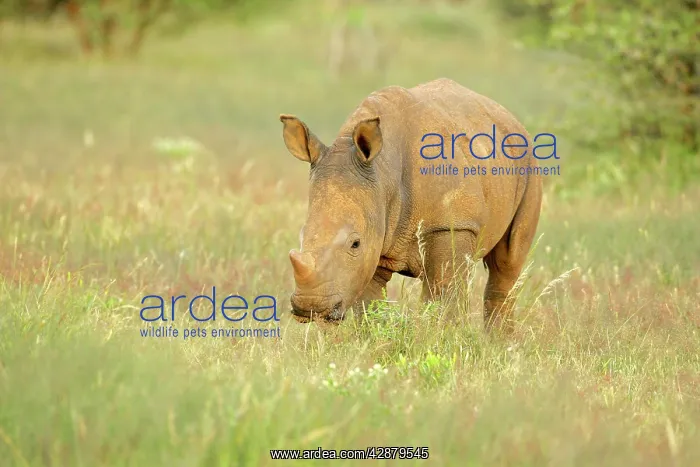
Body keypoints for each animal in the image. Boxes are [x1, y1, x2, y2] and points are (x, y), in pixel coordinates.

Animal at [280, 78, 543, 331]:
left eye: (355, 243)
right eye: (302, 236)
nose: (310, 307)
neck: (382, 174)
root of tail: (508, 116)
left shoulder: (450, 225)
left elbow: (442, 296)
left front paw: (439, 339)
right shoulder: (374, 236)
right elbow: (370, 305)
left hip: (528, 162)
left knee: (507, 263)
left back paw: (498, 342)